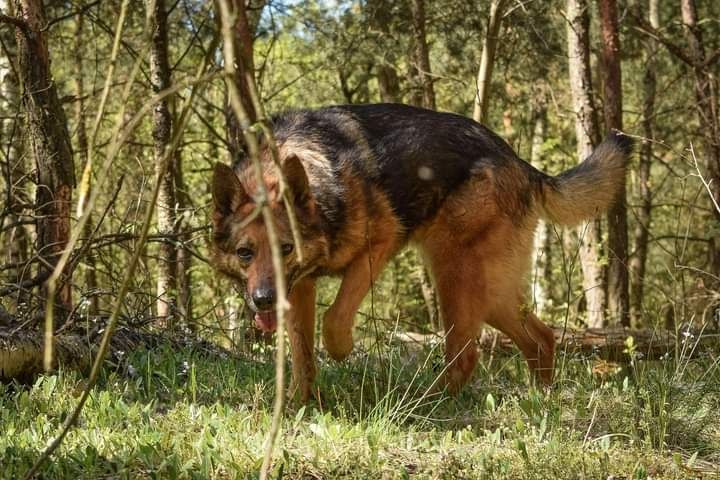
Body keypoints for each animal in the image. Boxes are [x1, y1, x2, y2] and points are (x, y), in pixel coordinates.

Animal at [210, 102, 632, 402]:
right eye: (246, 253)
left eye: (285, 248)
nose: (263, 300)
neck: (322, 186)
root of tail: (520, 162)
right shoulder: (299, 288)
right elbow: (301, 357)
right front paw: (299, 406)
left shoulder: (379, 246)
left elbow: (334, 320)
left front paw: (342, 350)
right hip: (491, 294)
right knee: (541, 338)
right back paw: (540, 400)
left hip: (453, 277)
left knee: (466, 355)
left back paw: (427, 402)